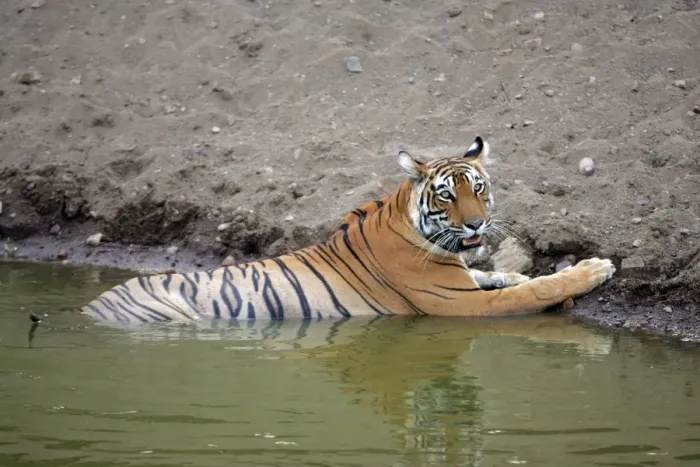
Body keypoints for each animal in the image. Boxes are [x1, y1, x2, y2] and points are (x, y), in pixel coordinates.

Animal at [81, 136, 616, 324]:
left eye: (479, 188)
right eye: (447, 195)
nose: (476, 222)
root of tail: (89, 307)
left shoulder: (462, 277)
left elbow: (496, 275)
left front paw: (517, 273)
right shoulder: (460, 304)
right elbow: (531, 291)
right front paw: (592, 268)